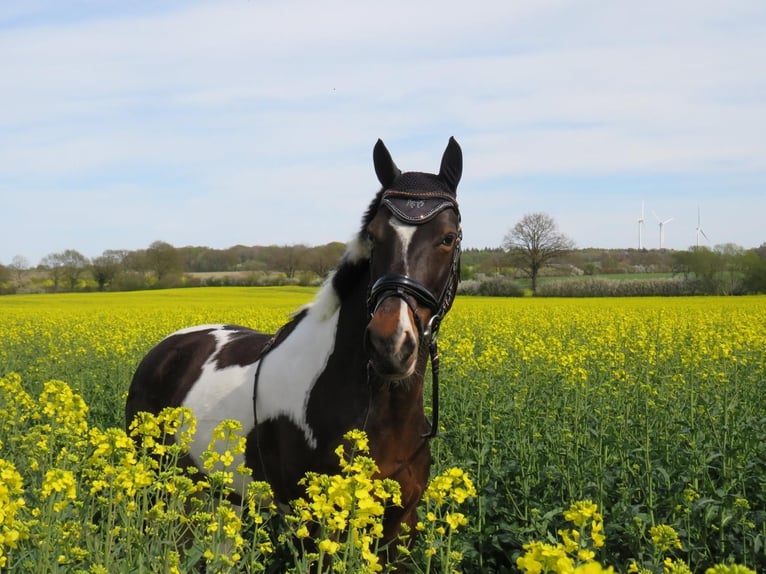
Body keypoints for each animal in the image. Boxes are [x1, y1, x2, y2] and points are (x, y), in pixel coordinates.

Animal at [125, 136, 462, 560]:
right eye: (373, 235)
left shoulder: (401, 527)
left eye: (448, 237)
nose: (390, 344)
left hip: (216, 495)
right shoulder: (316, 528)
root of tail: (165, 348)